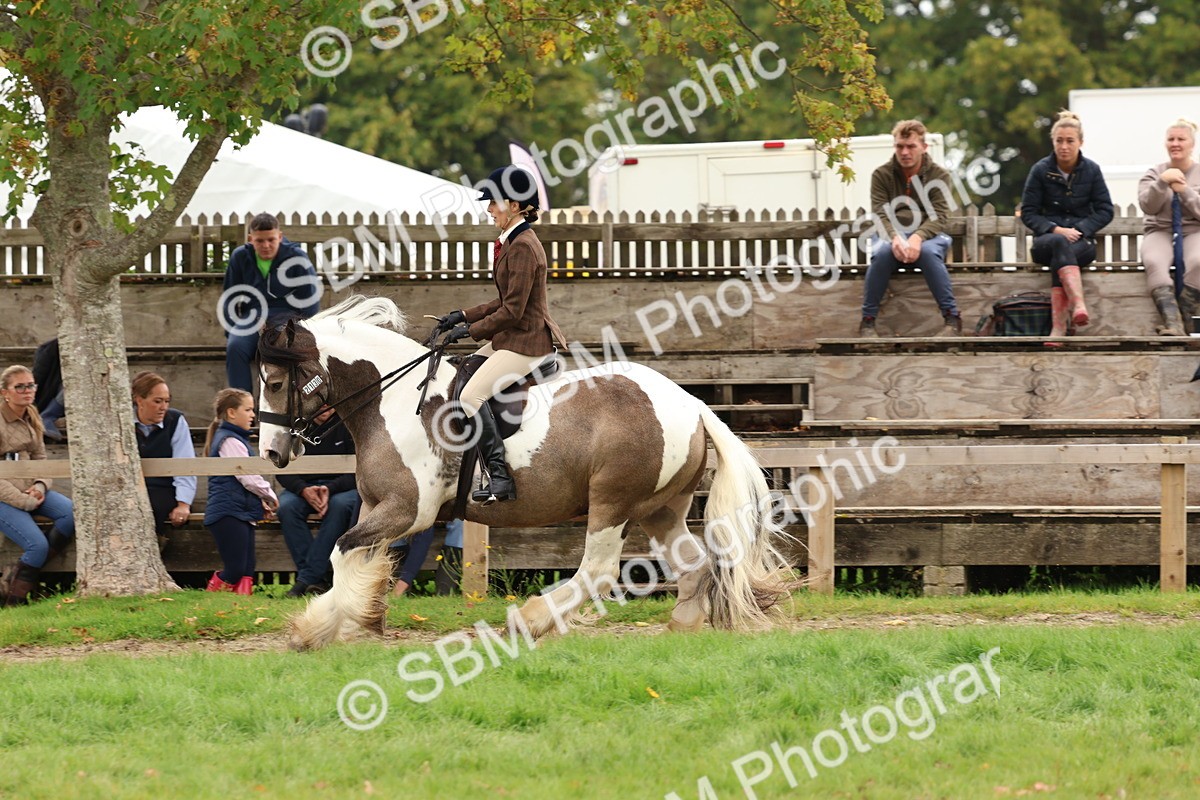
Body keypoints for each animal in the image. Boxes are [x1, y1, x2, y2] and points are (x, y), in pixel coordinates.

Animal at [256, 296, 795, 651]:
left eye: (276, 382)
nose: (272, 452)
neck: (396, 399)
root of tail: (694, 405)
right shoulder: (377, 506)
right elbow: (360, 558)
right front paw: (345, 622)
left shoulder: (408, 510)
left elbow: (341, 552)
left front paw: (321, 625)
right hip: (660, 509)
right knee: (692, 563)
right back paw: (682, 626)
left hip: (613, 502)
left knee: (599, 570)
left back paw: (531, 620)